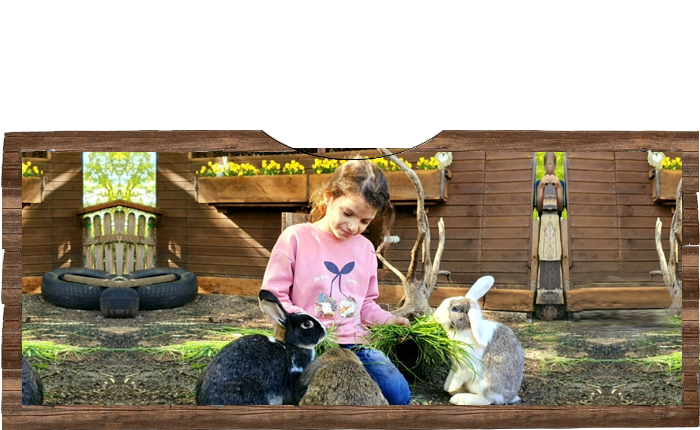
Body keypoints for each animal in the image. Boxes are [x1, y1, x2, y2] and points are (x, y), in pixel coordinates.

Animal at [433, 276, 524, 406]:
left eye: (455, 309)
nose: (436, 316)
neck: (464, 330)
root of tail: (510, 398)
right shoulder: (455, 365)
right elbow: (451, 374)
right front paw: (447, 386)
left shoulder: (468, 368)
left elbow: (458, 376)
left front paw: (451, 387)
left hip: (485, 383)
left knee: (487, 400)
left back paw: (458, 398)